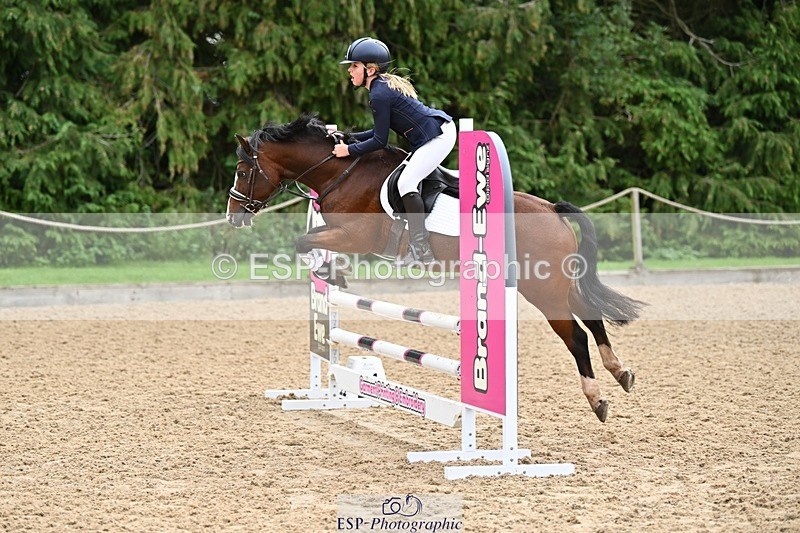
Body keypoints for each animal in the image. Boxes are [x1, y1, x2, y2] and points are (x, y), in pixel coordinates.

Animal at [226, 114, 645, 422]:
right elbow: (308, 244)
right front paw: (332, 277)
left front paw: (333, 276)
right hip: (555, 283)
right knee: (591, 316)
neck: (340, 173)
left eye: (243, 171)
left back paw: (597, 399)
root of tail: (551, 210)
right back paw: (621, 372)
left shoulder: (354, 236)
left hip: (541, 289)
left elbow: (304, 242)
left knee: (575, 336)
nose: (233, 217)